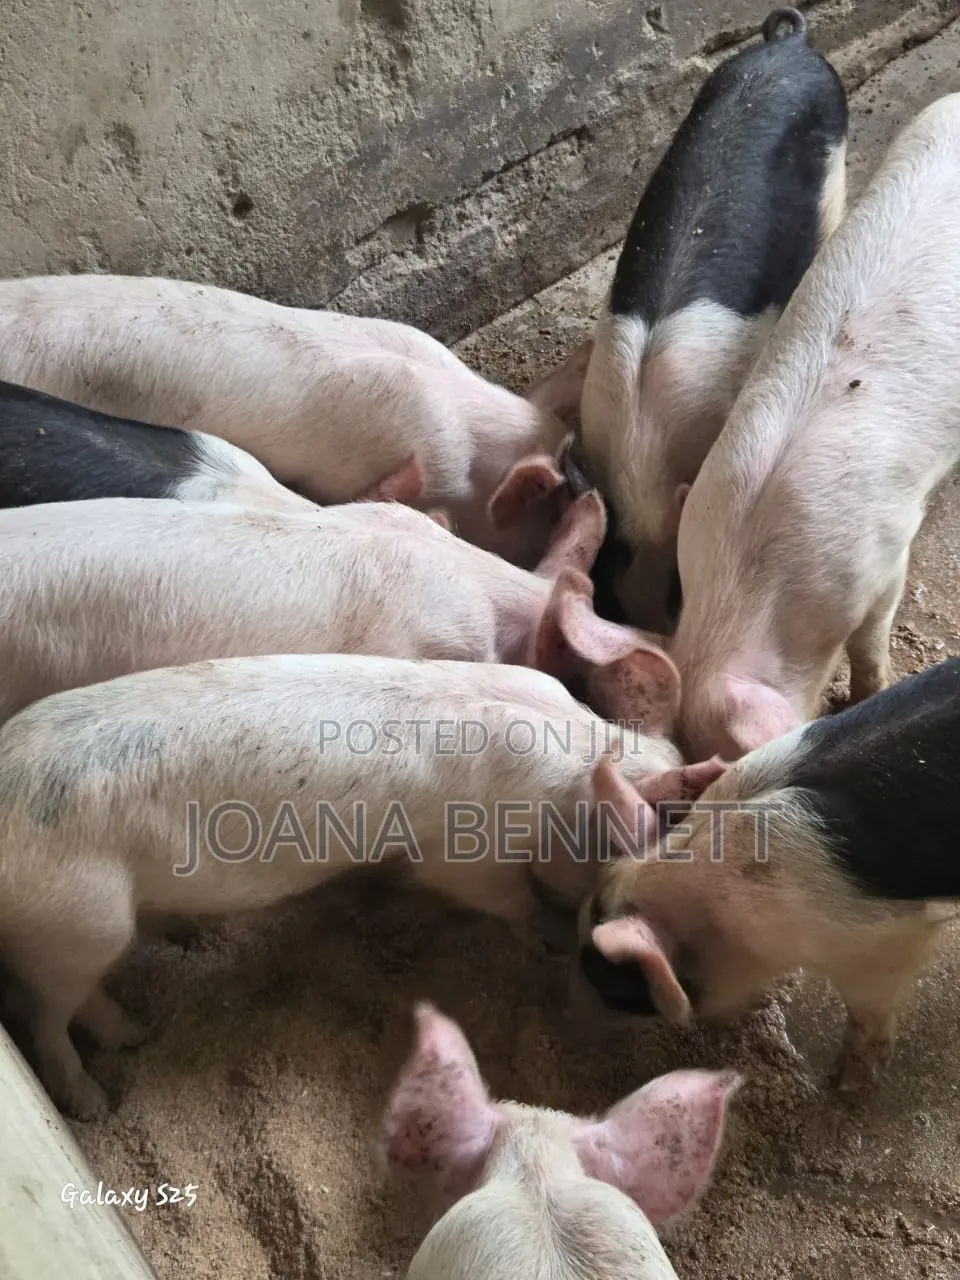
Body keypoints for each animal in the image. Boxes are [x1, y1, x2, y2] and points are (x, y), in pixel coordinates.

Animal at [0, 652, 724, 1117]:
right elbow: (498, 894)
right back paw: (94, 1102)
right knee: (45, 1015)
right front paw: (544, 933)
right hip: (77, 919)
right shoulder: (466, 853)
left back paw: (140, 1028)